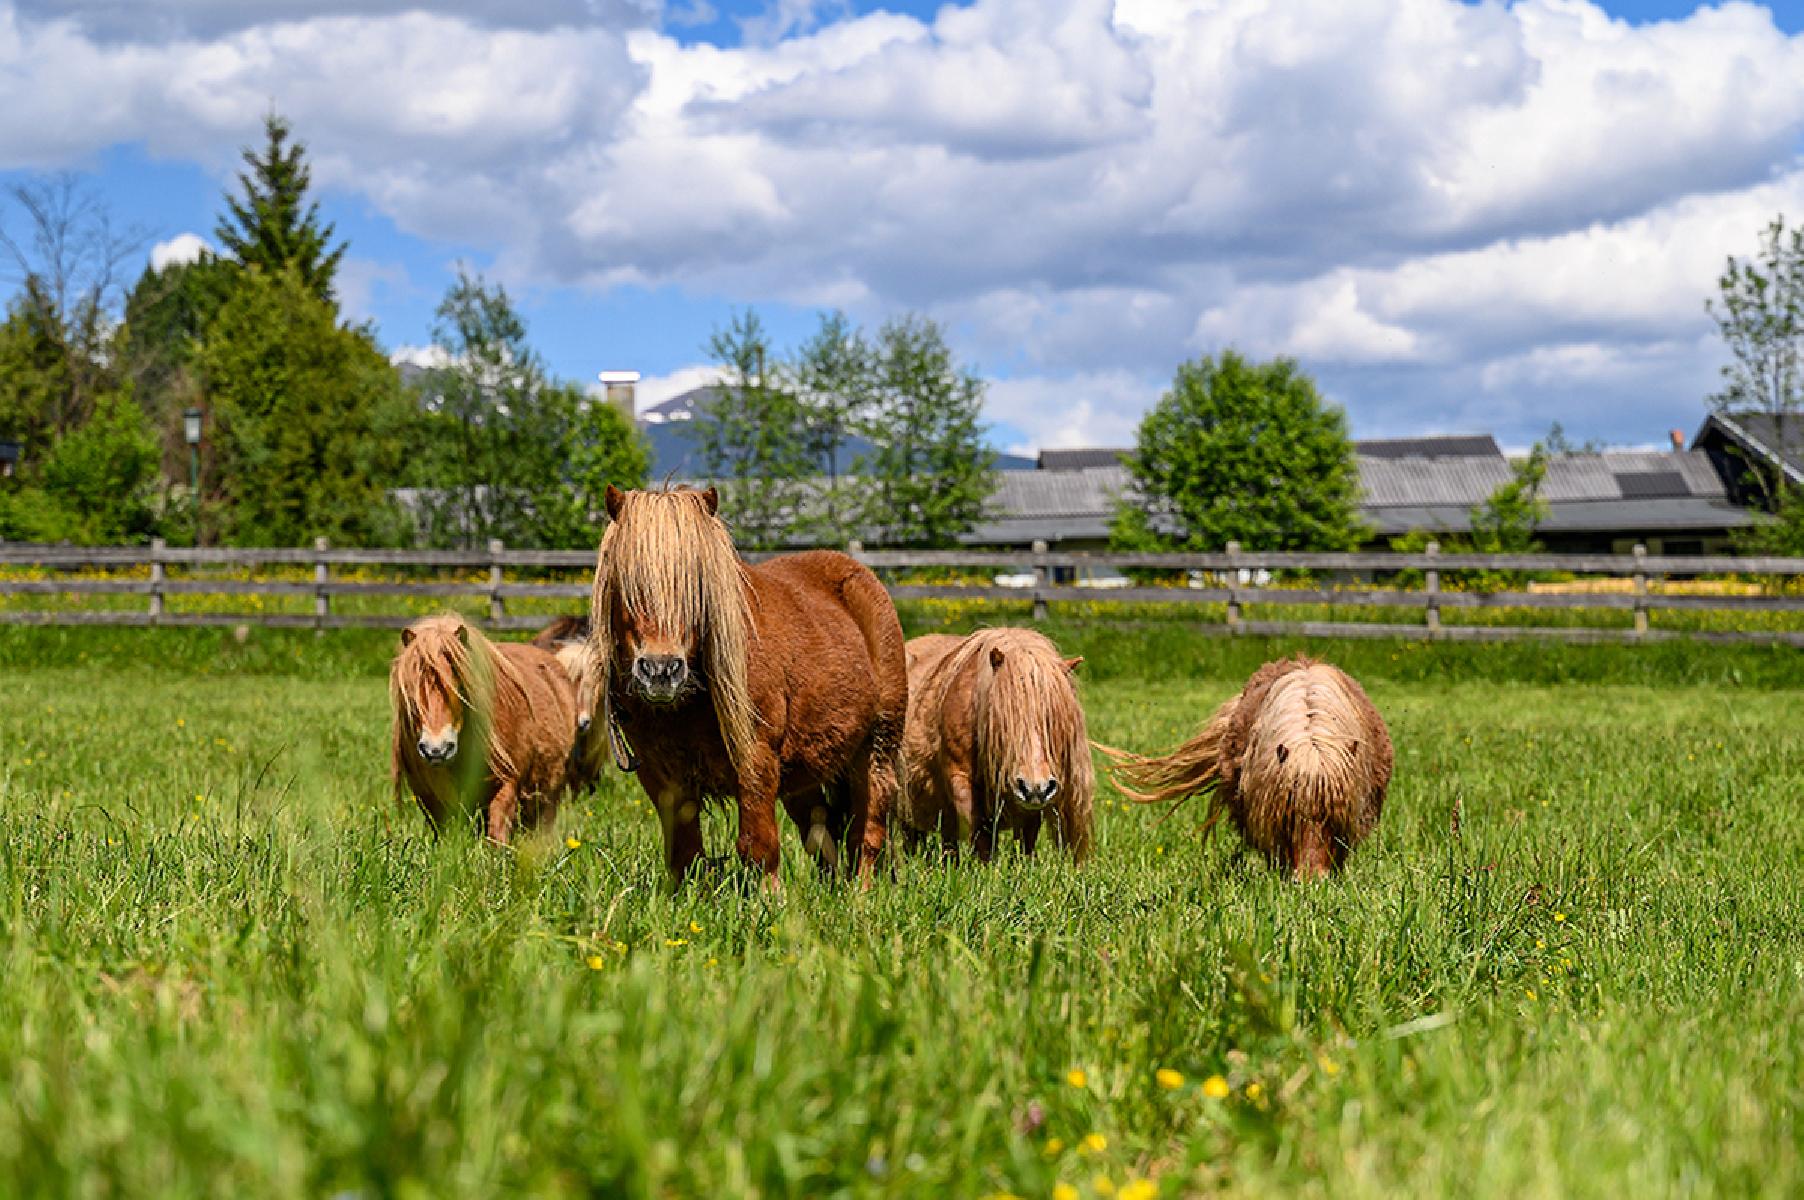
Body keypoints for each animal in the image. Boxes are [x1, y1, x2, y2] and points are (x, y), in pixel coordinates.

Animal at [393, 609, 577, 840]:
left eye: (460, 688)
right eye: (410, 691)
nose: (437, 749)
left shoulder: (506, 785)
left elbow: (497, 834)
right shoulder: (429, 796)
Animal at [584, 483, 909, 884]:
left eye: (697, 585)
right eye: (626, 584)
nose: (661, 670)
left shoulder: (755, 759)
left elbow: (758, 845)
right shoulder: (661, 776)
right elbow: (685, 855)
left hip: (877, 747)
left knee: (868, 833)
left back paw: (859, 892)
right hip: (804, 774)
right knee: (823, 833)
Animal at [894, 627, 1089, 862]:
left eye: (1054, 721)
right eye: (1006, 719)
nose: (1036, 787)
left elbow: (1026, 838)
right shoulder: (961, 780)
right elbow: (981, 833)